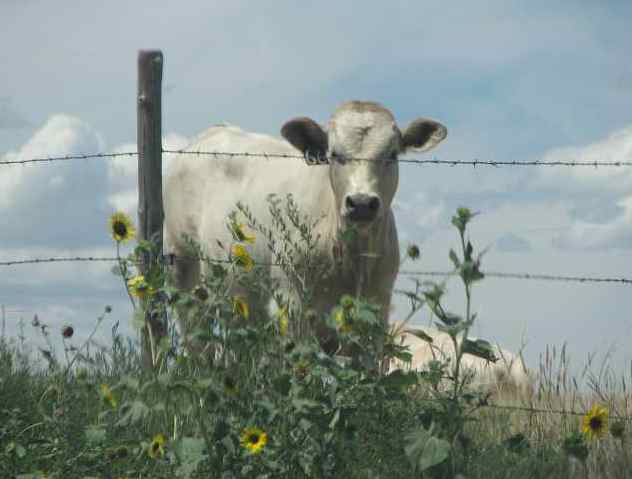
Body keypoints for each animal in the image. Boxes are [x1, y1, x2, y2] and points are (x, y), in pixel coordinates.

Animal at [165, 100, 446, 348]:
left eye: (392, 154)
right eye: (335, 154)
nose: (361, 203)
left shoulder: (376, 310)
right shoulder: (291, 306)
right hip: (184, 272)